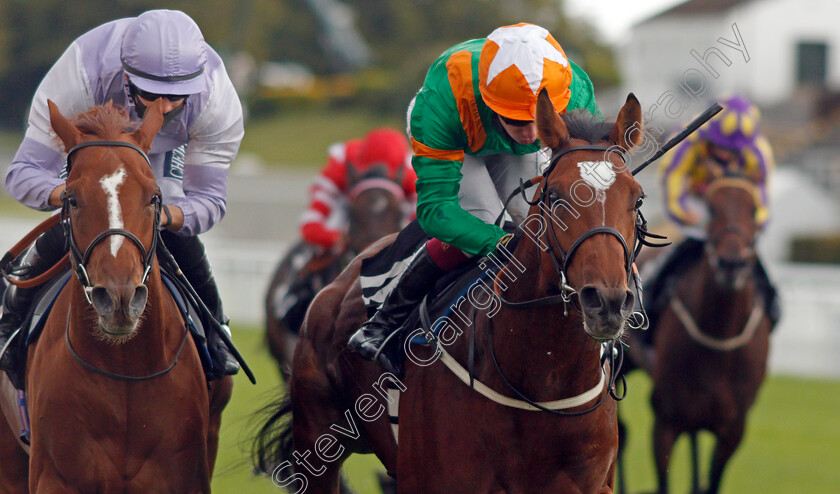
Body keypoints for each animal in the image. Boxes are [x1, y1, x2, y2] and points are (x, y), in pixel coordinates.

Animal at [620, 178, 772, 494]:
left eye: (753, 210)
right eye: (711, 210)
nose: (731, 264)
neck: (718, 338)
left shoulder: (733, 431)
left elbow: (709, 482)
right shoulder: (666, 420)